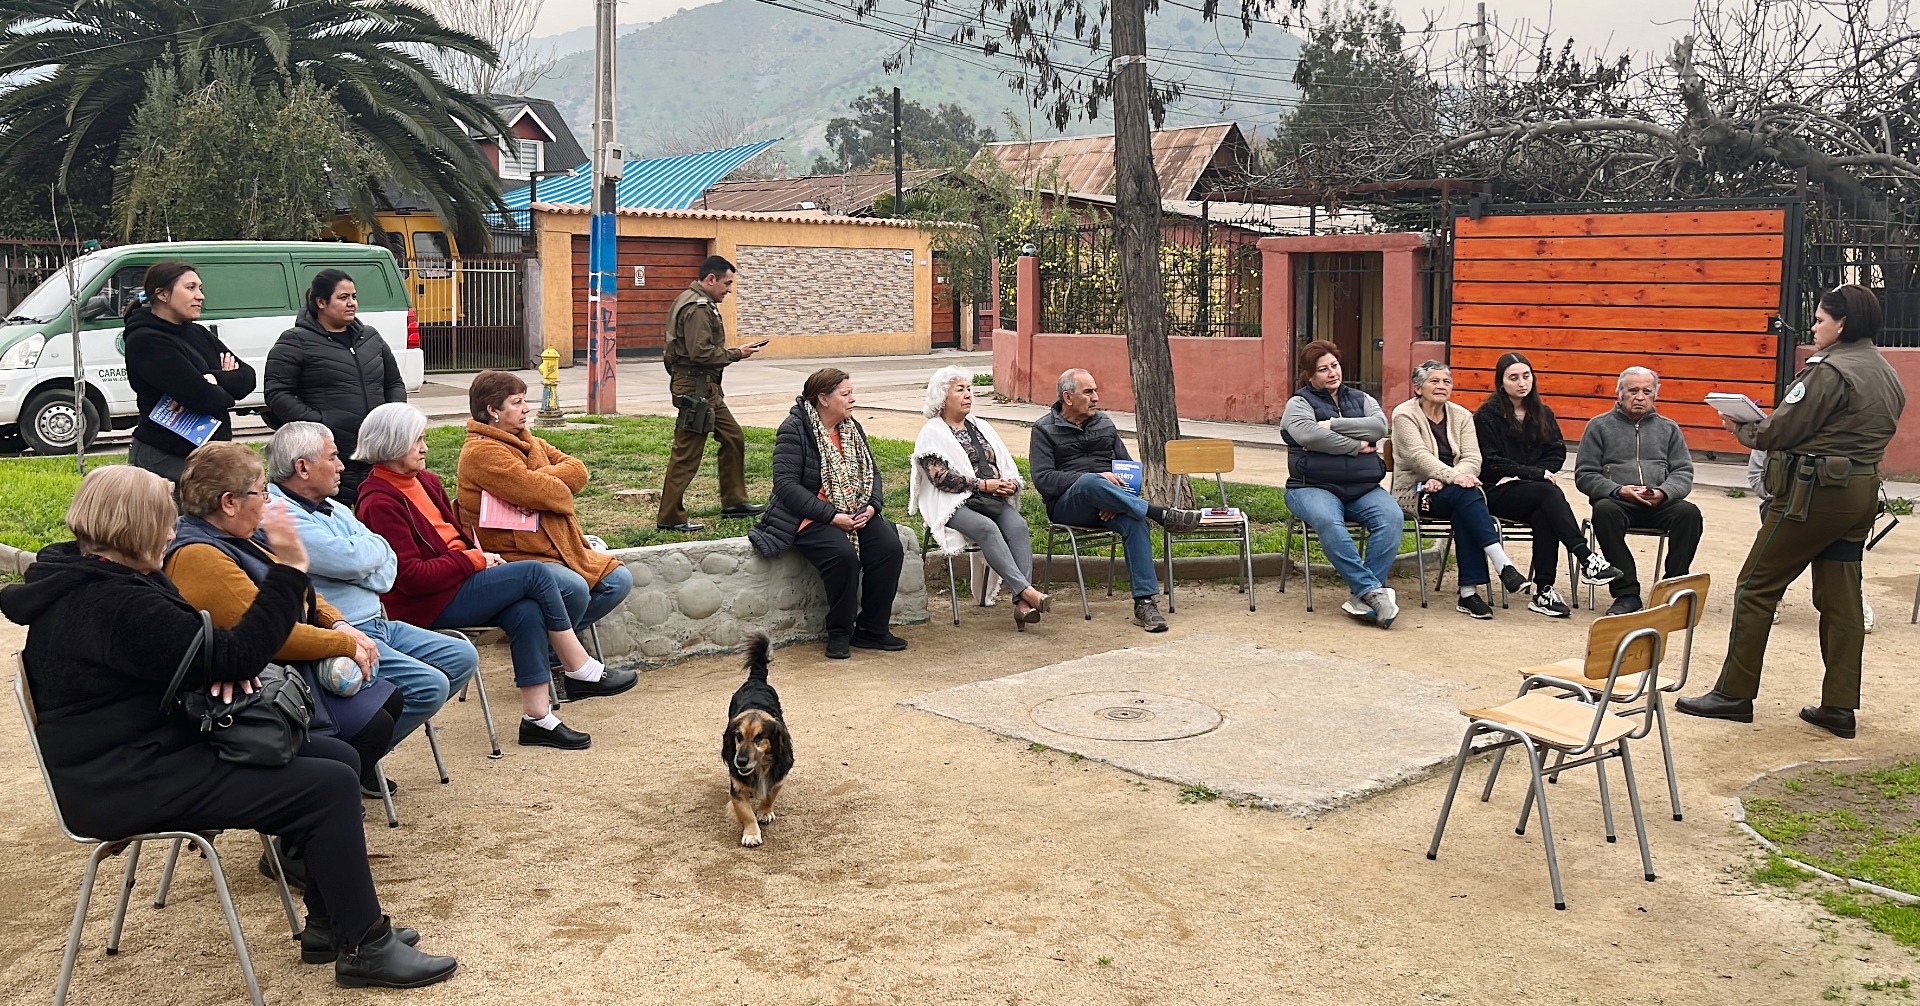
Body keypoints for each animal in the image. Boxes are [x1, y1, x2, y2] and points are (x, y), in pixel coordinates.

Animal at [721, 641, 787, 844]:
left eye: (759, 738)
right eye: (738, 737)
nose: (740, 762)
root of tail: (756, 680)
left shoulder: (779, 775)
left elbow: (770, 795)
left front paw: (765, 812)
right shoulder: (737, 786)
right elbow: (746, 813)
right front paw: (751, 834)